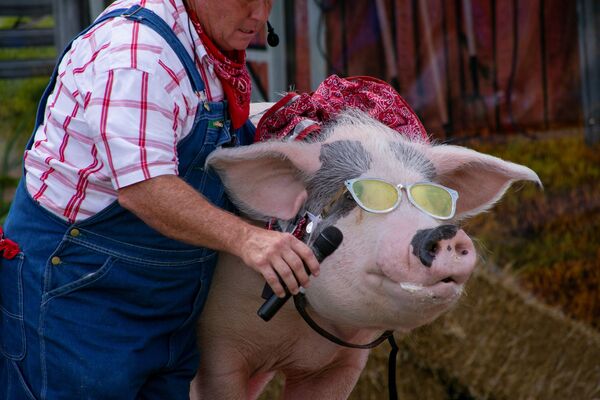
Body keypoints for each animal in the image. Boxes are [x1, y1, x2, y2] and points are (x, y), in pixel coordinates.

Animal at [189, 104, 540, 398]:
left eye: (434, 200)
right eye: (351, 197)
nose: (444, 232)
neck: (292, 331)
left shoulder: (343, 365)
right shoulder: (218, 350)